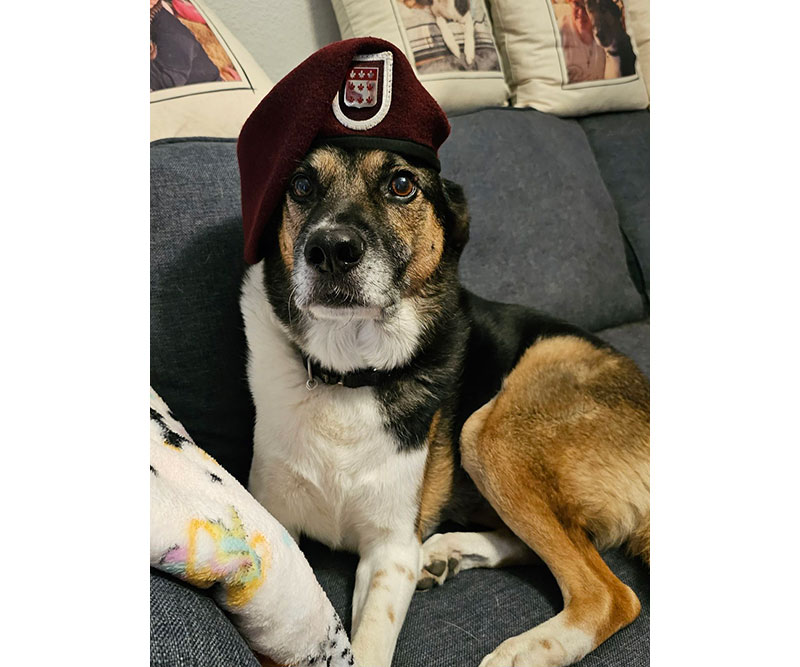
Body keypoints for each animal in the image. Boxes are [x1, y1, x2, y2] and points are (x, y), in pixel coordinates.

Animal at [239, 142, 648, 667]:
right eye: (302, 186)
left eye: (401, 184)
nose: (329, 250)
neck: (349, 376)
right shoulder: (280, 526)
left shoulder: (391, 551)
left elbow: (370, 644)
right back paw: (444, 554)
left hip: (489, 432)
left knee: (610, 593)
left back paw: (523, 651)